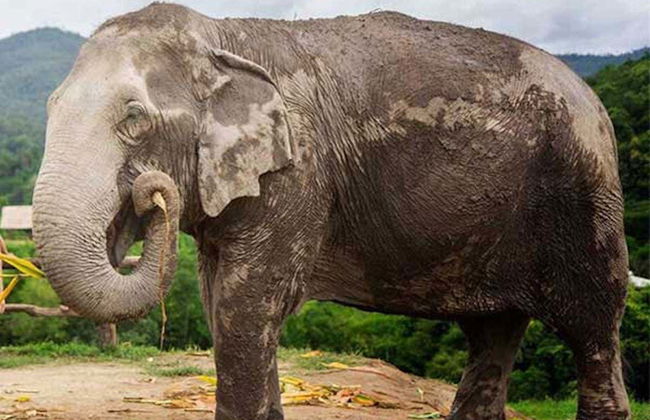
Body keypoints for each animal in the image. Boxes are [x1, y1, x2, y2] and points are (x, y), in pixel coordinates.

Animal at [32, 3, 630, 420]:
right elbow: (219, 304)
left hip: (584, 195)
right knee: (493, 334)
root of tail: (593, 100)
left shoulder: (299, 170)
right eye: (50, 107)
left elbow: (246, 307)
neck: (223, 34)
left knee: (593, 328)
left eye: (134, 120)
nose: (148, 193)